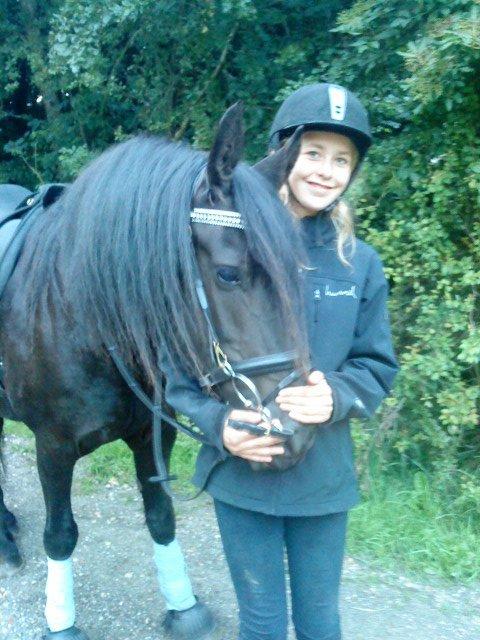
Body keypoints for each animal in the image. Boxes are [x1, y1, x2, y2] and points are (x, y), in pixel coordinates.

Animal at [0, 103, 309, 639]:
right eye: (228, 274)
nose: (297, 431)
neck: (82, 316)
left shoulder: (152, 432)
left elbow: (161, 515)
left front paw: (182, 604)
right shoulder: (52, 446)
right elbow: (60, 535)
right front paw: (62, 621)